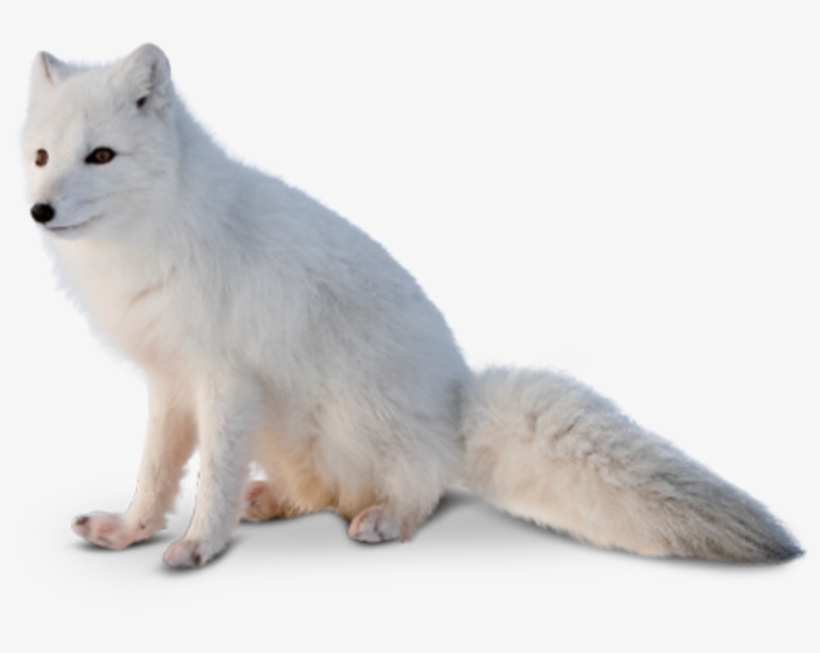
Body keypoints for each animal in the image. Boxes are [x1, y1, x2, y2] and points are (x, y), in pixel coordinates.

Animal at [23, 43, 801, 569]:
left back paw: (387, 516)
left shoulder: (224, 381)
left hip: (345, 411)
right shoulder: (170, 380)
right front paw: (131, 529)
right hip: (284, 426)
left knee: (417, 486)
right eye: (40, 157)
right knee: (322, 490)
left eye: (100, 156)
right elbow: (155, 474)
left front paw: (198, 544)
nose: (39, 211)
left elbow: (211, 477)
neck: (154, 239)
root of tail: (456, 409)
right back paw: (273, 499)